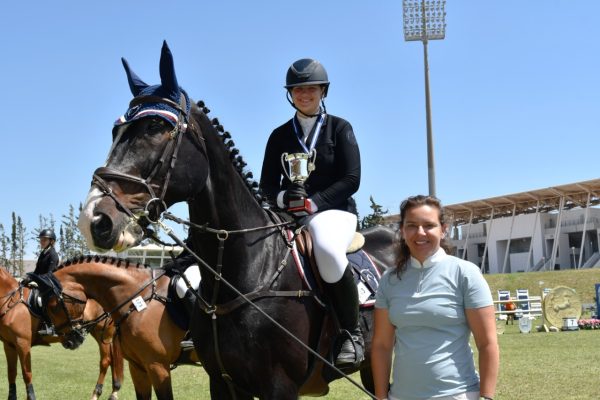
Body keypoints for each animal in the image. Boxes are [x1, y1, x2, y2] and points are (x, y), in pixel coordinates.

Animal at [0, 266, 124, 400]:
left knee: (106, 361)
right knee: (113, 360)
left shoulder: (22, 343)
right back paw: (114, 392)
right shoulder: (9, 344)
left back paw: (96, 393)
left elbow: (27, 374)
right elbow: (11, 373)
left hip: (103, 333)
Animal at [77, 41, 396, 400]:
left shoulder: (279, 387)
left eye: (156, 129)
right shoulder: (223, 381)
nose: (95, 219)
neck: (246, 273)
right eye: (116, 131)